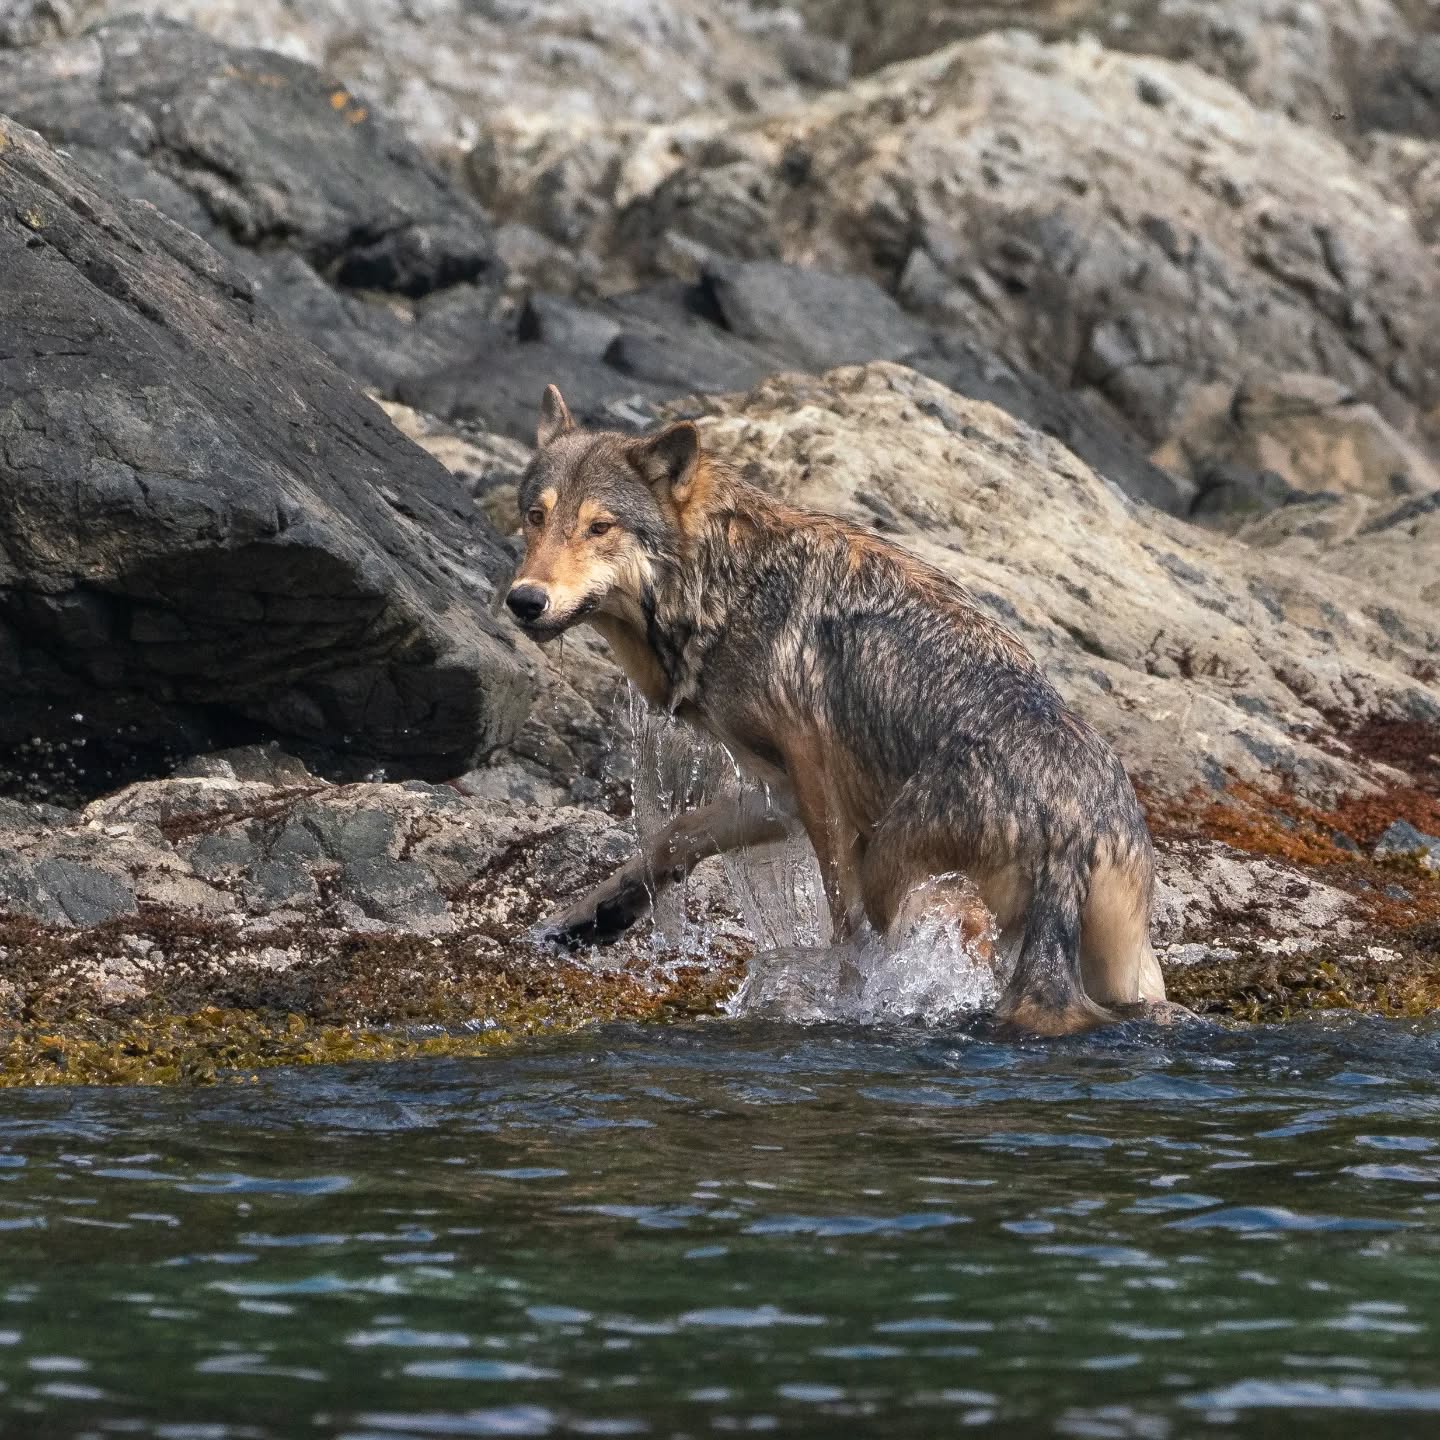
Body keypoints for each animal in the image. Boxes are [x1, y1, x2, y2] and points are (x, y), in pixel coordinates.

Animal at [503, 385, 1168, 1034]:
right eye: (536, 517)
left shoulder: (819, 791)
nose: (524, 601)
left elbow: (844, 927)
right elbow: (671, 837)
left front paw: (843, 994)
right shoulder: (777, 792)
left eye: (599, 527)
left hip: (896, 876)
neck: (725, 586)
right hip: (1125, 964)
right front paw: (592, 917)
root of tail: (1070, 820)